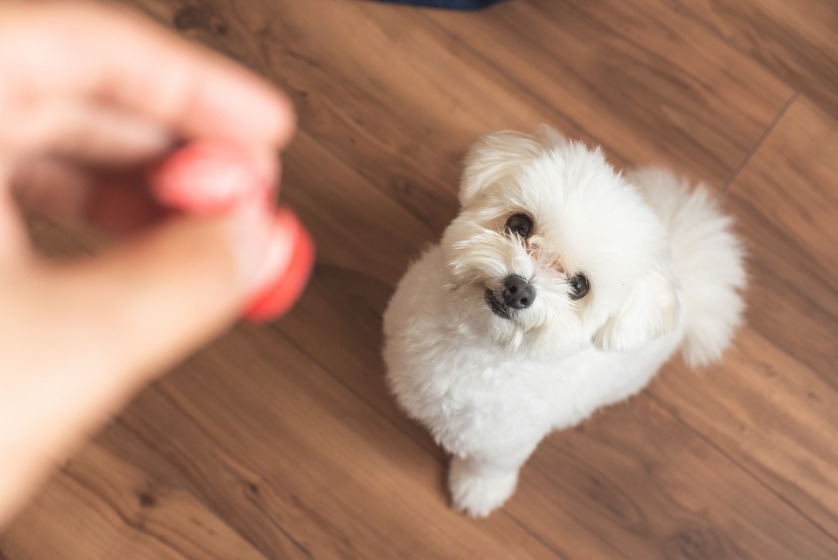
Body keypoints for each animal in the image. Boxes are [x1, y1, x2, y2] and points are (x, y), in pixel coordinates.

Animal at [384, 126, 744, 516]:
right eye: (519, 224)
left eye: (579, 286)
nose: (518, 289)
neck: (475, 342)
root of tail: (681, 268)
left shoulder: (503, 442)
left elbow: (488, 468)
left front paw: (477, 491)